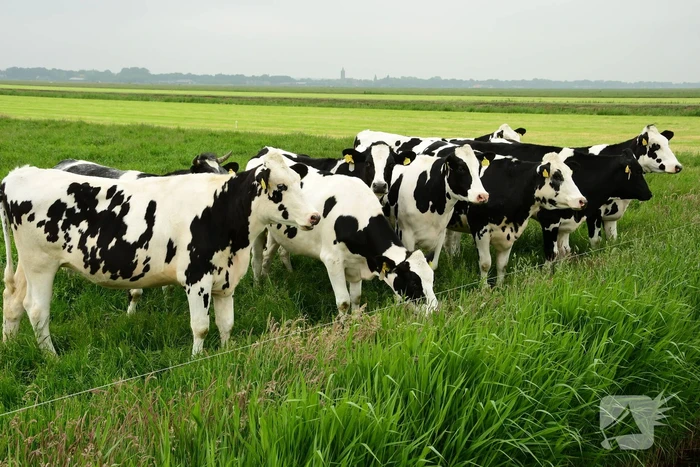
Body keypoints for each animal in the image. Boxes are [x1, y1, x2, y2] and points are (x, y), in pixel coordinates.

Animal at [1, 150, 320, 356]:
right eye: (281, 187)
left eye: (299, 183)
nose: (315, 216)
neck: (221, 210)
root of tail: (20, 173)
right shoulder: (197, 278)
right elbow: (201, 327)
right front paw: (196, 360)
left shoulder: (226, 281)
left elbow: (226, 325)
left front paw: (225, 354)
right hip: (41, 264)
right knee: (37, 309)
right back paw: (51, 357)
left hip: (28, 264)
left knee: (14, 300)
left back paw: (10, 346)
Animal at [247, 165, 438, 314]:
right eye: (414, 283)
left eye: (432, 279)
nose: (435, 311)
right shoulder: (333, 261)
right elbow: (344, 302)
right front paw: (342, 328)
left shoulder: (356, 264)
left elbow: (356, 298)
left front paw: (355, 322)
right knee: (257, 258)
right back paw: (257, 286)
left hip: (278, 234)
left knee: (270, 254)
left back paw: (273, 278)